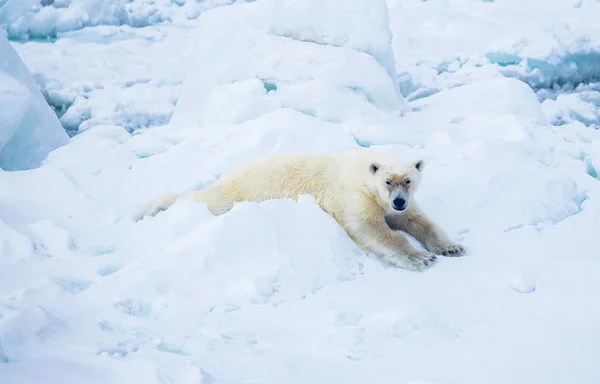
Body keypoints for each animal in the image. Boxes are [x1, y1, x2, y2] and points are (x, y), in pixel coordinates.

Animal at [139, 148, 464, 272]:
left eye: (408, 180)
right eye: (388, 181)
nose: (398, 201)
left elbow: (420, 221)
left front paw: (452, 247)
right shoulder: (355, 197)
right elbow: (370, 229)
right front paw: (421, 258)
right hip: (234, 196)